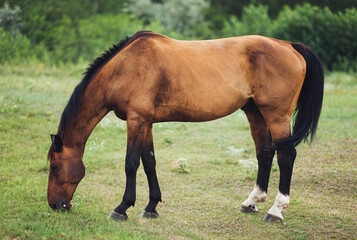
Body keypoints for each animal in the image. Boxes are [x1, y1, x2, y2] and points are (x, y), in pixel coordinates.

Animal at [46, 31, 322, 222]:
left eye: (54, 166)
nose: (54, 205)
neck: (123, 68)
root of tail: (288, 45)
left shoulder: (136, 120)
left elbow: (131, 163)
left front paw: (122, 208)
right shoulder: (146, 122)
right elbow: (149, 161)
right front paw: (151, 207)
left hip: (277, 116)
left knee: (286, 156)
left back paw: (276, 210)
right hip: (255, 112)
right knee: (264, 152)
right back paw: (251, 202)